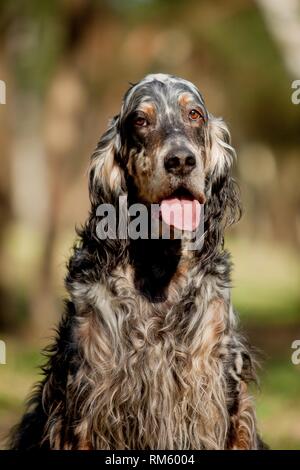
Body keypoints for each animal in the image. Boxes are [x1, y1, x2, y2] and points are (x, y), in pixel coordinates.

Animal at [9, 74, 268, 452]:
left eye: (194, 114)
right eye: (140, 121)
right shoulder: (85, 394)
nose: (181, 161)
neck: (158, 268)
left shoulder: (220, 392)